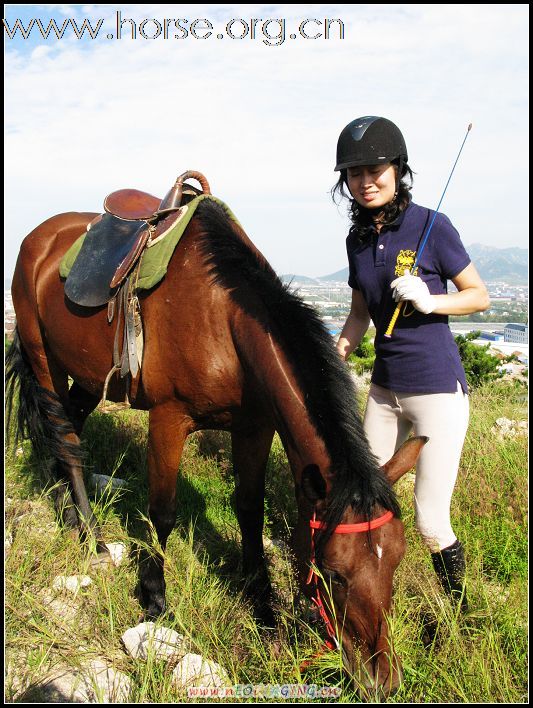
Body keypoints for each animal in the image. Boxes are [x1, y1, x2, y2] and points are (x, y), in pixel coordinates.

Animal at [5, 196, 424, 696]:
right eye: (334, 573)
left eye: (396, 560)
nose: (383, 680)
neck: (224, 319)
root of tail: (38, 237)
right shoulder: (168, 419)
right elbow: (163, 512)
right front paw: (154, 597)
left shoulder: (255, 428)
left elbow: (249, 509)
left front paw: (263, 606)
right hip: (42, 356)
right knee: (65, 439)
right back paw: (90, 533)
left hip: (87, 375)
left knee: (66, 431)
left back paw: (66, 512)